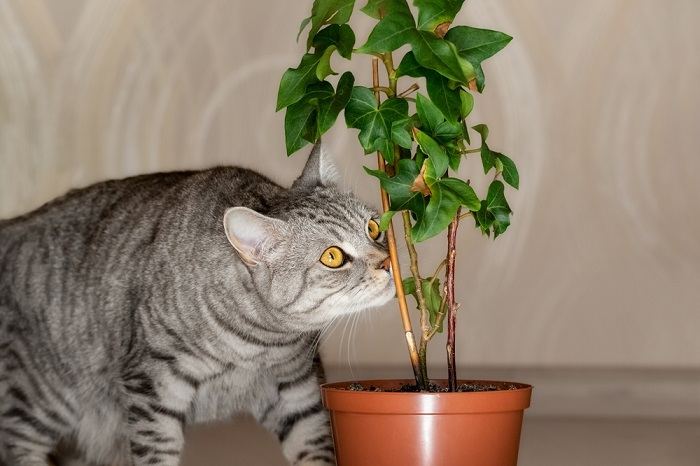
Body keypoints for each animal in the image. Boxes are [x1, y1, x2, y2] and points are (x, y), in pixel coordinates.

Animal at [0, 143, 394, 466]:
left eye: (374, 228)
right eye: (333, 257)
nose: (387, 262)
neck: (260, 343)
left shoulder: (298, 392)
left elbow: (315, 449)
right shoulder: (155, 386)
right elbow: (157, 455)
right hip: (42, 397)